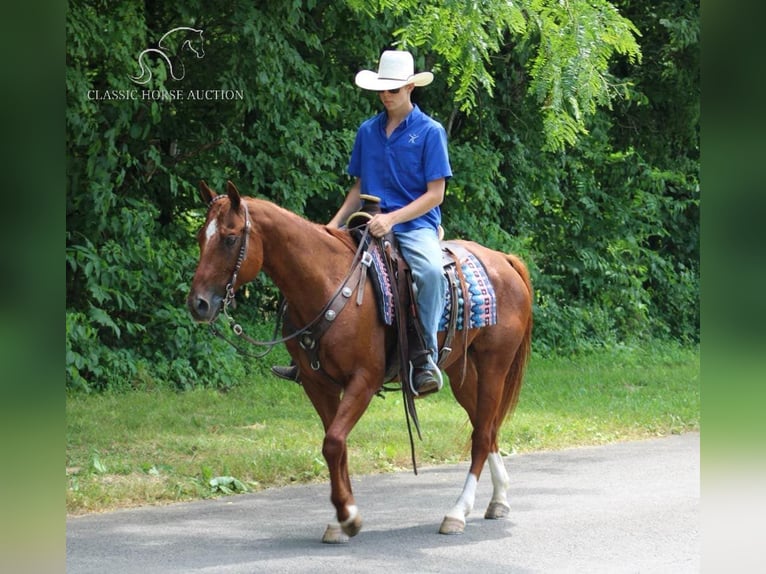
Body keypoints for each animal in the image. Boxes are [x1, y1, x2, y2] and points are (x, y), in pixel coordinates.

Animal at [187, 181, 536, 544]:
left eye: (229, 238)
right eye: (200, 237)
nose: (198, 304)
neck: (326, 283)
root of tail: (504, 260)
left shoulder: (364, 381)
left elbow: (333, 443)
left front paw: (348, 516)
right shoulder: (317, 384)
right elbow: (336, 447)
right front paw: (340, 520)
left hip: (495, 365)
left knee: (481, 436)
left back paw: (457, 512)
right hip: (460, 372)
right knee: (487, 427)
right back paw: (499, 499)